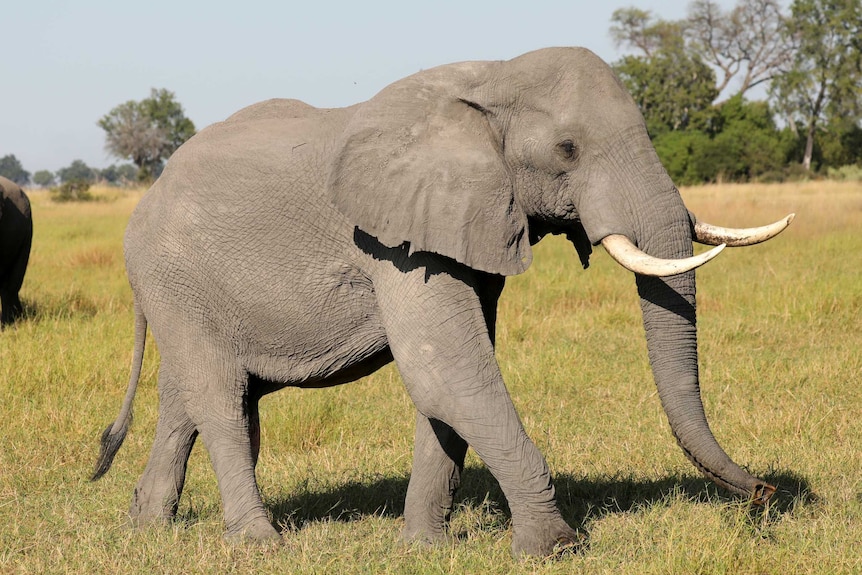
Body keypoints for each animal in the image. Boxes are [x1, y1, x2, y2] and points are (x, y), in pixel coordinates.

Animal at [91, 47, 792, 560]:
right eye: (567, 151)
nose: (766, 494)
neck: (492, 78)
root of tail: (147, 196)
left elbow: (451, 383)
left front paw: (422, 548)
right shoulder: (392, 239)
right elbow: (446, 370)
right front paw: (552, 549)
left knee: (192, 397)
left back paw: (146, 530)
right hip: (171, 274)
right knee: (219, 397)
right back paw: (261, 546)